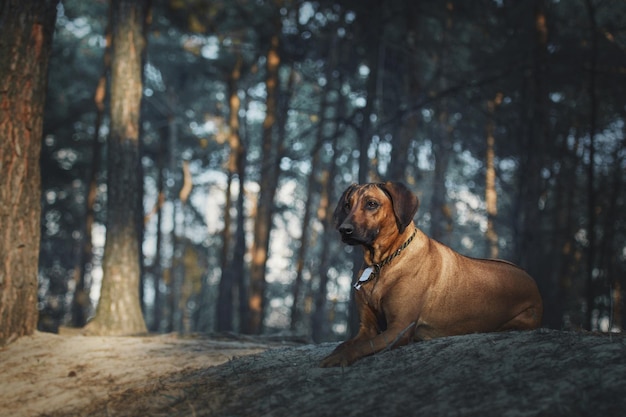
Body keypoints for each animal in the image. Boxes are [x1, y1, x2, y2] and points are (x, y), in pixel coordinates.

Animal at [320, 180, 540, 366]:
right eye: (347, 205)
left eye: (372, 204)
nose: (344, 230)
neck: (381, 264)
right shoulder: (367, 328)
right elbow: (347, 344)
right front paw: (336, 353)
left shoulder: (399, 328)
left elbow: (364, 346)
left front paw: (337, 358)